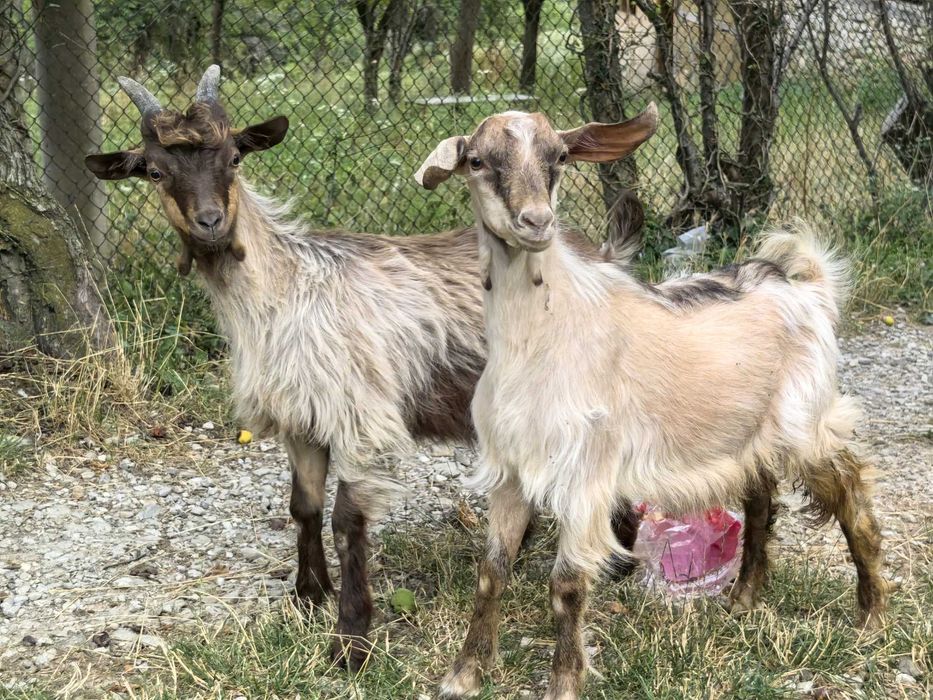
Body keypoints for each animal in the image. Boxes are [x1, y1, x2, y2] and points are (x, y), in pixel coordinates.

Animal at [85, 66, 643, 670]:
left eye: (234, 157)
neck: (285, 291)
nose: (210, 222)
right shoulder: (302, 417)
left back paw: (621, 561)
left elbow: (346, 521)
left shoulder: (360, 416)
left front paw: (351, 637)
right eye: (154, 171)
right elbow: (303, 507)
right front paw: (309, 594)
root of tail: (606, 257)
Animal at [416, 105, 891, 699]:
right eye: (478, 161)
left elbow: (566, 584)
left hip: (807, 421)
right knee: (762, 502)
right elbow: (491, 572)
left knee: (851, 493)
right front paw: (464, 674)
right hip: (745, 431)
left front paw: (564, 682)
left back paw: (871, 615)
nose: (536, 221)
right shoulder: (511, 469)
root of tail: (808, 287)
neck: (542, 335)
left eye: (559, 157)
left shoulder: (586, 472)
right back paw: (743, 599)